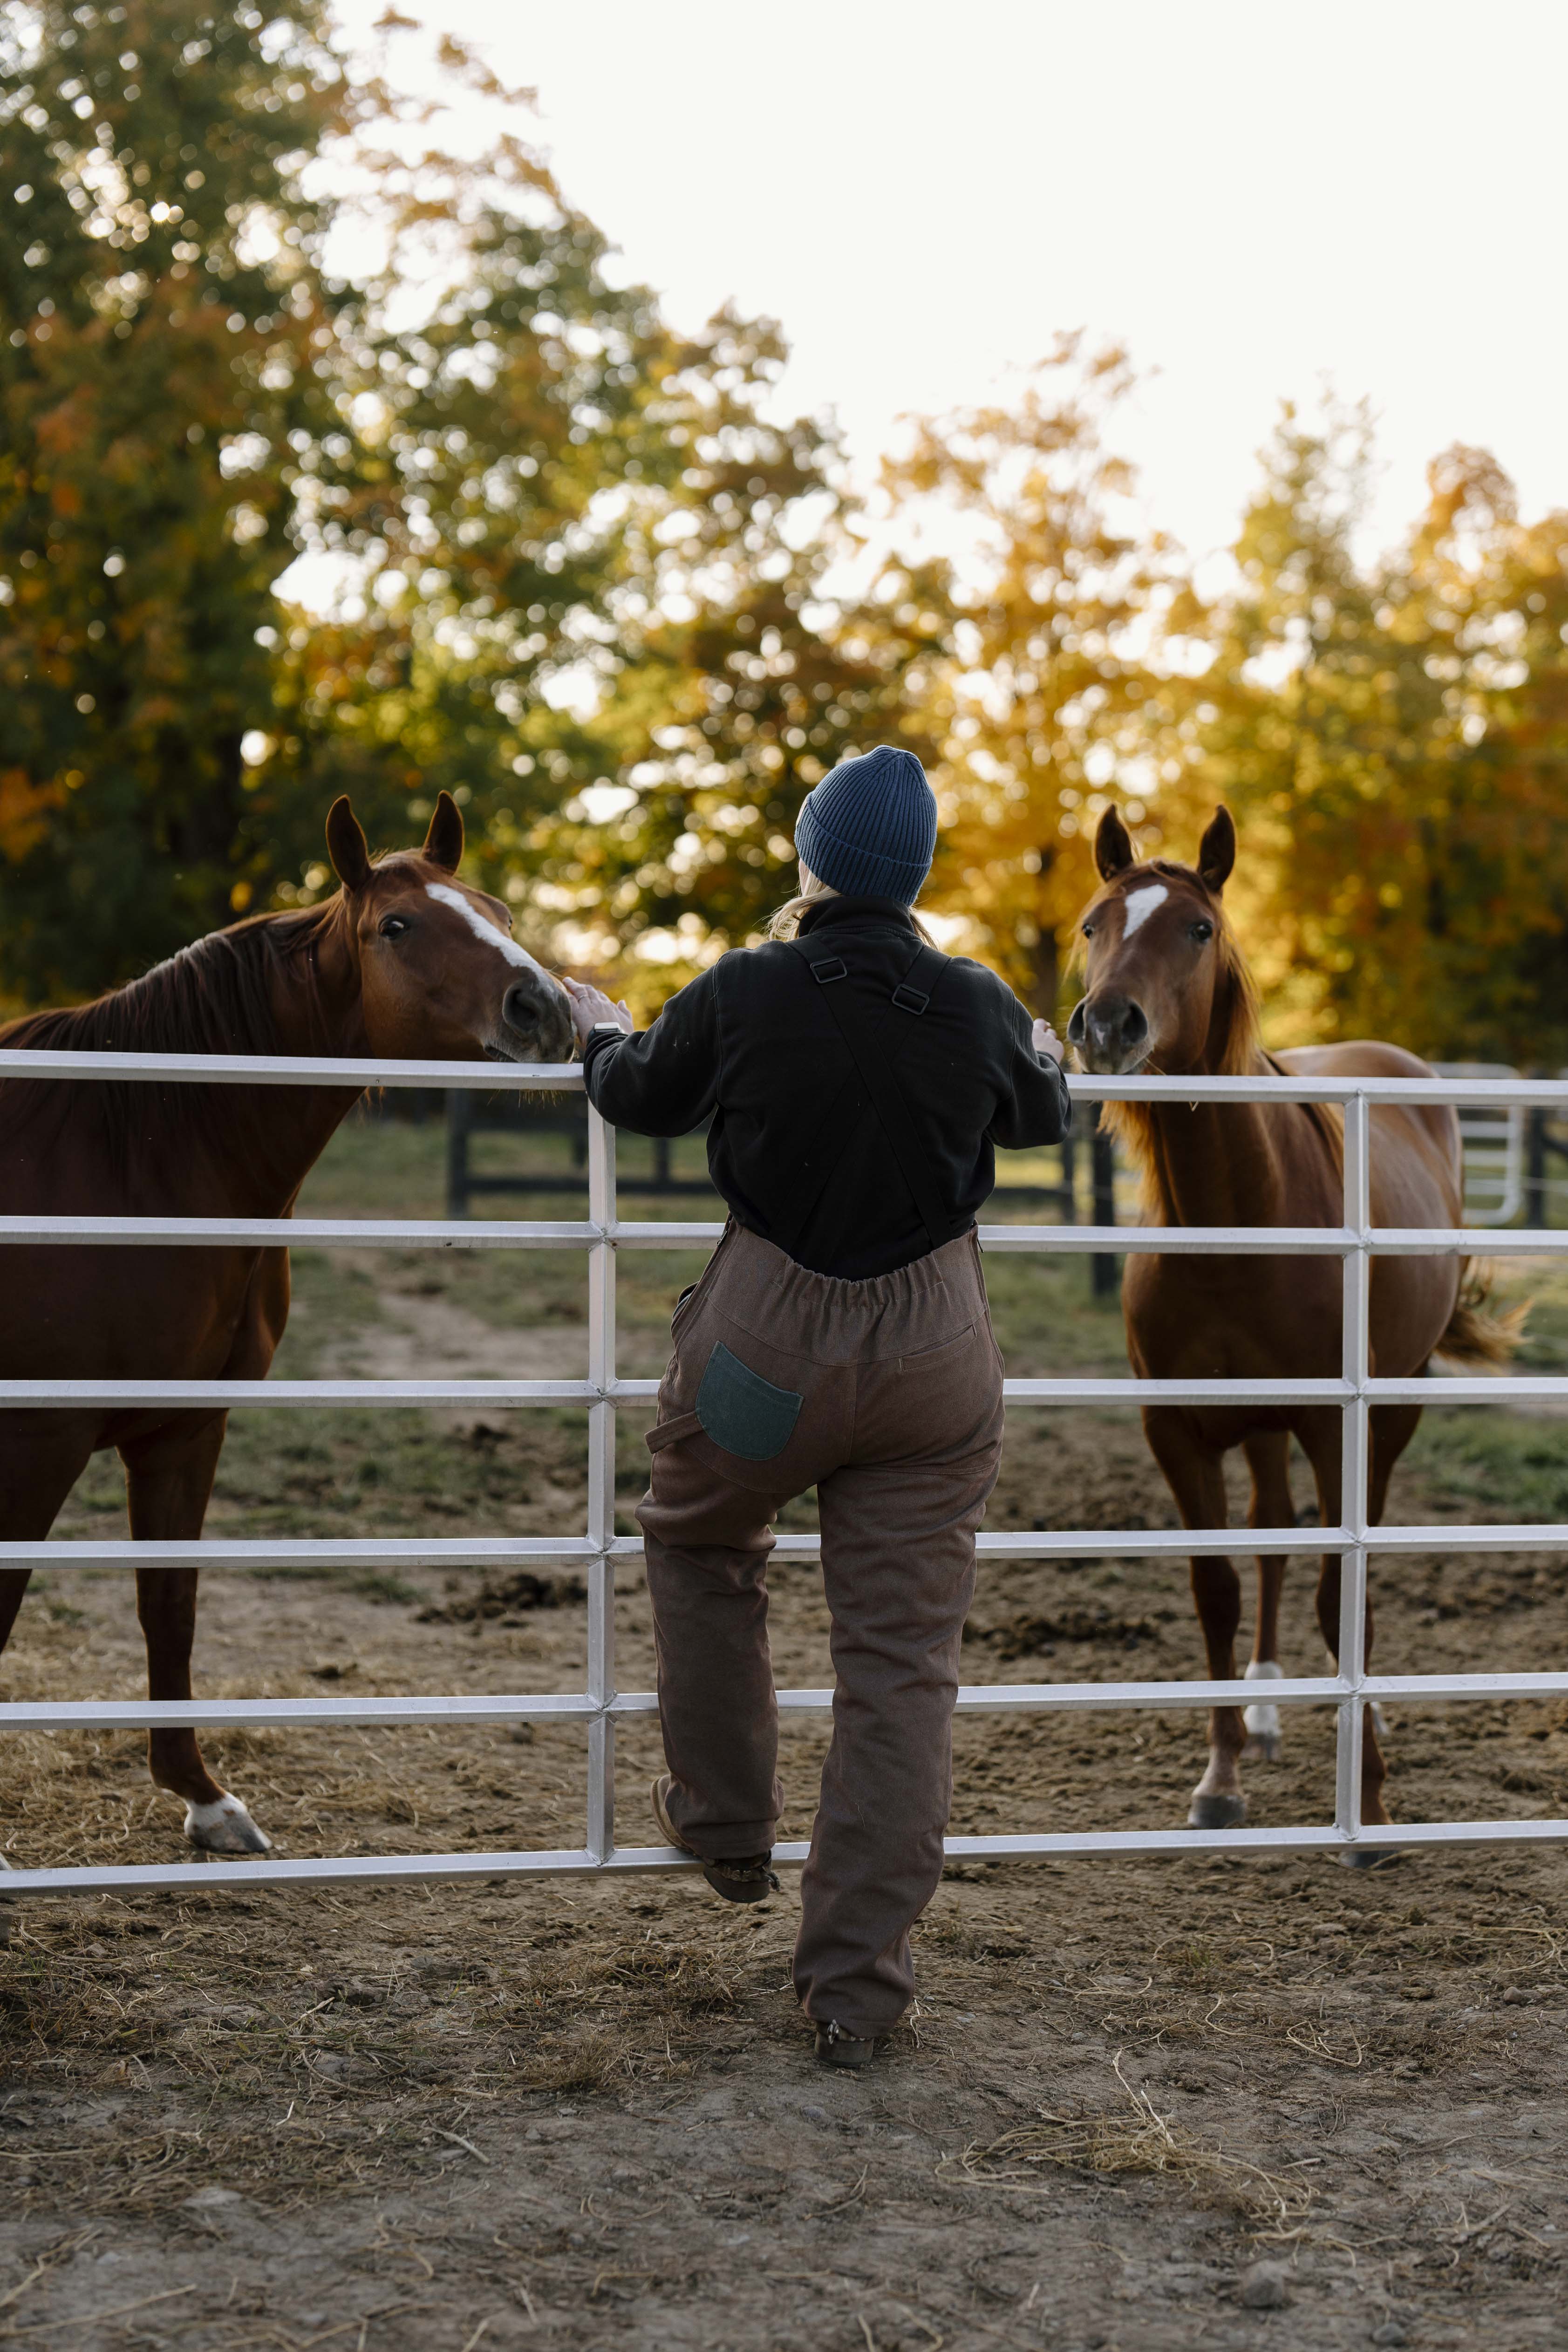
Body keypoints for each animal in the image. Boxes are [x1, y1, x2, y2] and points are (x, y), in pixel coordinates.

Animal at [0, 792, 573, 1856]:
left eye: (501, 911)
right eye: (398, 925)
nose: (544, 1010)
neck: (137, 1158)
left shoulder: (185, 1429)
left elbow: (169, 1603)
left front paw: (203, 1797)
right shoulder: (38, 1438)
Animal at [1065, 803, 1514, 1851]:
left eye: (1197, 928)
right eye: (1093, 924)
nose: (1106, 1025)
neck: (1240, 1223)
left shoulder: (1332, 1423)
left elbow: (1337, 1588)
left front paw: (1372, 1800)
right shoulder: (1178, 1431)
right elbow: (1219, 1590)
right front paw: (1219, 1775)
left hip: (1389, 1411)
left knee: (1346, 1557)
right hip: (1261, 1428)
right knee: (1269, 1539)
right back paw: (1265, 1714)